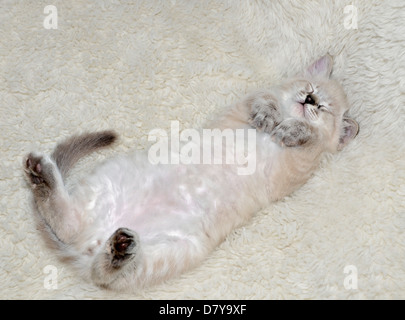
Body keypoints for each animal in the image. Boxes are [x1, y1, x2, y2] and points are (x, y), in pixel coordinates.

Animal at [22, 55, 356, 292]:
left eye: (323, 109)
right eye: (310, 89)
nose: (310, 101)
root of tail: (92, 242)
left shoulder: (297, 169)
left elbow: (310, 138)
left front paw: (293, 129)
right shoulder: (241, 109)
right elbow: (264, 100)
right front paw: (269, 115)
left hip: (173, 252)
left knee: (101, 271)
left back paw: (119, 248)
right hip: (110, 180)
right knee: (68, 224)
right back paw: (41, 173)